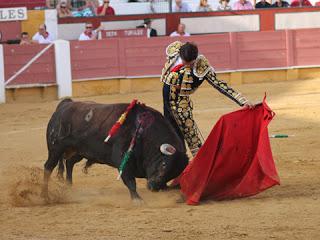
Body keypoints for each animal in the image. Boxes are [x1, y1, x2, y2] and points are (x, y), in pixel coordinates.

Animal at [42, 98, 188, 202]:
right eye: (164, 164)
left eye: (173, 173)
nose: (153, 187)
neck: (145, 133)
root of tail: (64, 105)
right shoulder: (123, 160)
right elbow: (130, 181)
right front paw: (137, 199)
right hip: (56, 149)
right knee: (49, 167)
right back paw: (45, 196)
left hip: (79, 151)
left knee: (69, 162)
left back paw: (69, 186)